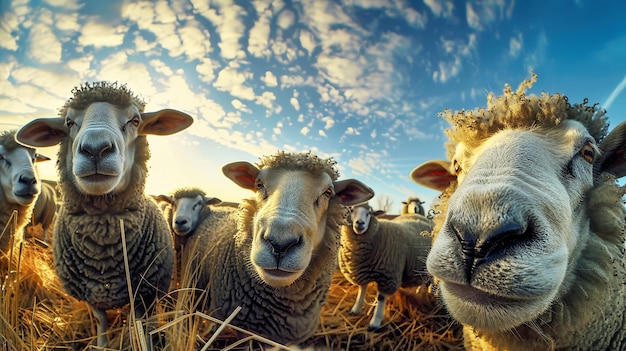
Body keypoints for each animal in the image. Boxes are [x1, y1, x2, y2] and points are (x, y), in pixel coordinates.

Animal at [16, 82, 193, 350]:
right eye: (69, 122)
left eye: (135, 120)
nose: (95, 149)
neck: (104, 247)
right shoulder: (91, 292)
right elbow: (101, 321)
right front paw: (101, 344)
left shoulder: (144, 292)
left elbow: (139, 322)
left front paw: (143, 342)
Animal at [336, 202, 434, 332]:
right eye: (351, 210)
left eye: (369, 213)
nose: (360, 223)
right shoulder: (361, 272)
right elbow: (361, 290)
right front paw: (355, 309)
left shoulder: (387, 276)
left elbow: (381, 298)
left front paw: (375, 323)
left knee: (428, 281)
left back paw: (424, 292)